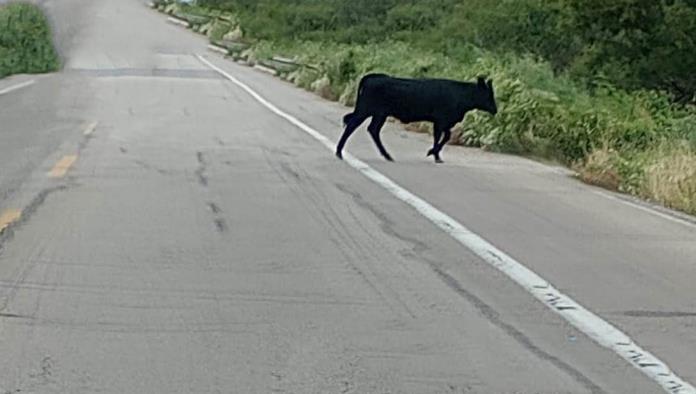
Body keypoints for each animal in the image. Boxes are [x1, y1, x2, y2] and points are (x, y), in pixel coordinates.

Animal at [336, 73, 494, 162]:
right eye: (488, 95)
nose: (495, 109)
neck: (459, 94)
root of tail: (373, 77)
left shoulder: (444, 122)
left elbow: (444, 136)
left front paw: (434, 153)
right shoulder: (441, 120)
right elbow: (440, 137)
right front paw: (434, 155)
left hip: (379, 114)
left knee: (373, 129)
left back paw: (387, 155)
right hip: (366, 110)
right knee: (352, 125)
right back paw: (339, 152)